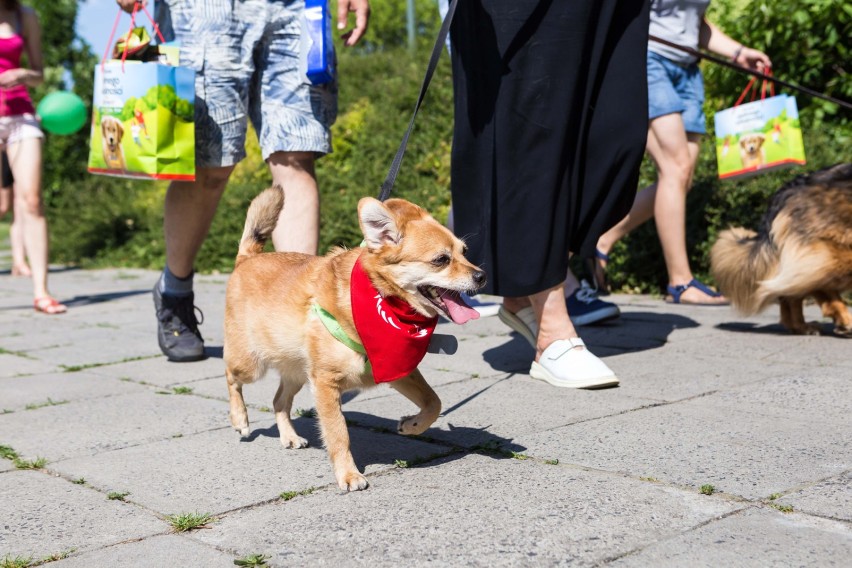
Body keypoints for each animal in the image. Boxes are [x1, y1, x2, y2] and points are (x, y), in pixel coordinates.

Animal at [223, 185, 486, 488]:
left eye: (465, 252)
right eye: (441, 260)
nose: (482, 276)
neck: (383, 302)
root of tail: (248, 257)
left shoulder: (399, 371)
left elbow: (434, 401)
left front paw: (412, 425)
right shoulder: (326, 385)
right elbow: (338, 434)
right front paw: (348, 474)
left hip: (297, 372)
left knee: (279, 401)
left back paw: (288, 436)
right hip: (250, 364)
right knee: (231, 378)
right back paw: (240, 419)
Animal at [712, 162, 852, 336]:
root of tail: (788, 190)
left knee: (794, 292)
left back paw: (801, 326)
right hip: (833, 253)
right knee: (813, 286)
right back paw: (841, 322)